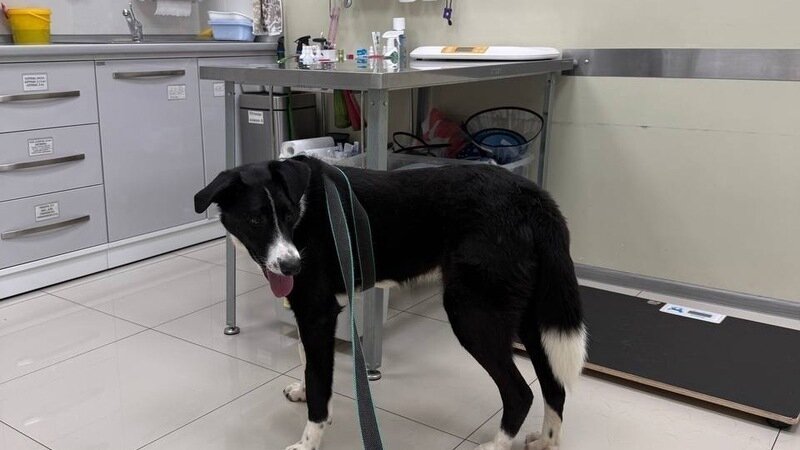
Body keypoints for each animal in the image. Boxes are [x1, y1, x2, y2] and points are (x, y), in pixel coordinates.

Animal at [194, 156, 587, 450]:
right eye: (255, 219)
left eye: (289, 216)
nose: (292, 265)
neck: (305, 204)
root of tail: (533, 198)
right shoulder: (308, 312)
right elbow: (308, 361)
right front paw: (303, 392)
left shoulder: (318, 312)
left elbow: (320, 385)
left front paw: (308, 441)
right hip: (531, 317)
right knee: (554, 385)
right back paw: (548, 441)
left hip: (472, 314)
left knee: (520, 393)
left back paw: (496, 445)